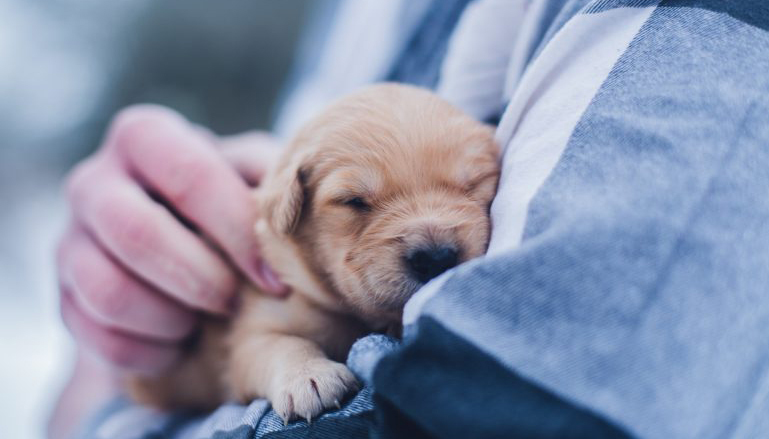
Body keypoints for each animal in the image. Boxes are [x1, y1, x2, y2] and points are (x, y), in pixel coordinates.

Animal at [130, 82, 504, 422]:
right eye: (354, 201)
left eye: (473, 184)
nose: (436, 258)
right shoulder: (252, 329)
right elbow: (280, 344)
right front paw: (308, 377)